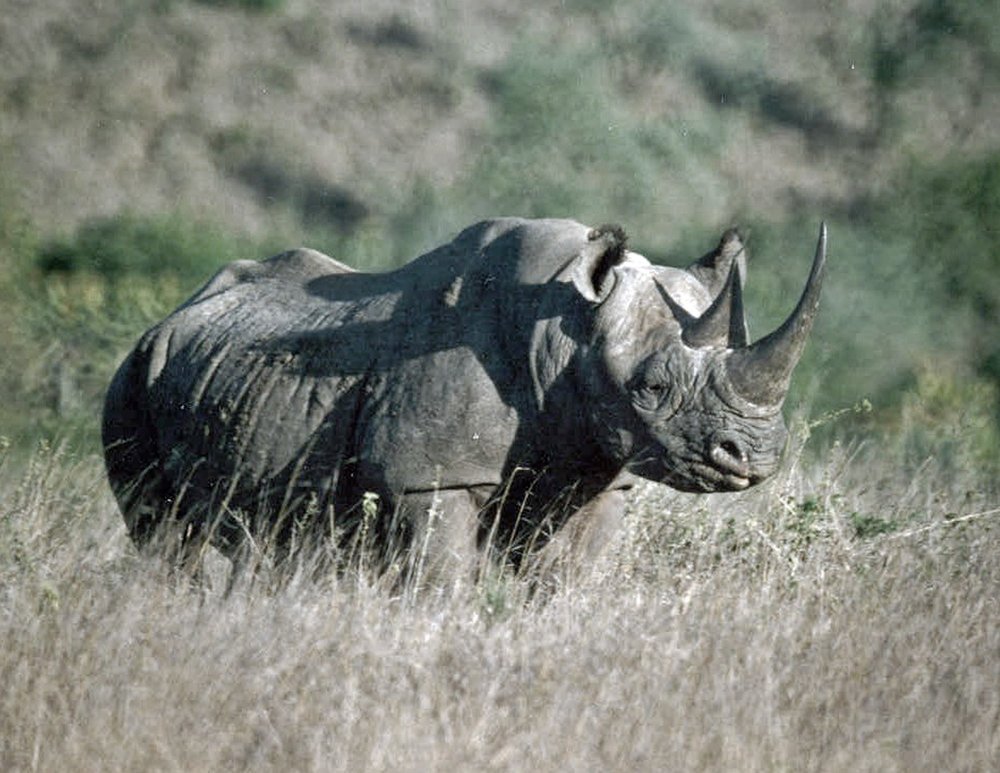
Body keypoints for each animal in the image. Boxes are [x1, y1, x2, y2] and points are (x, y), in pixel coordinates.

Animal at [105, 217, 828, 580]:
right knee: (161, 532)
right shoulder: (431, 477)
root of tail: (173, 314)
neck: (562, 330)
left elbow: (562, 579)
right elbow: (443, 579)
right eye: (650, 388)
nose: (753, 456)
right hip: (132, 373)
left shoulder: (597, 469)